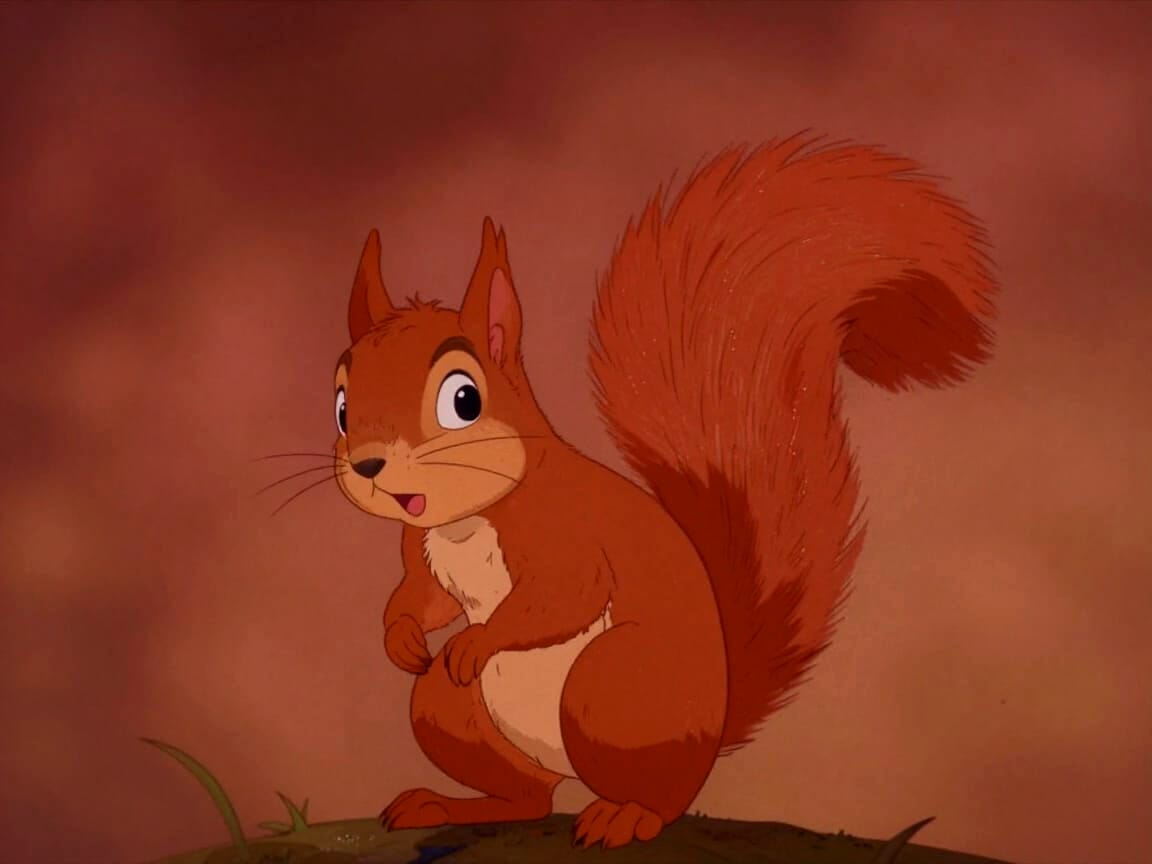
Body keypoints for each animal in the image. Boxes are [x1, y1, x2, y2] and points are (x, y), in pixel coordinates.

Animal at [329, 134, 996, 850]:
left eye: (463, 399)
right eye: (340, 404)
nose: (369, 466)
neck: (468, 516)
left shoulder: (565, 530)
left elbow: (562, 595)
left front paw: (476, 641)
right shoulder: (420, 549)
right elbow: (421, 599)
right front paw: (400, 638)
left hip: (611, 687)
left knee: (660, 798)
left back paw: (625, 814)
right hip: (450, 708)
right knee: (526, 796)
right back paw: (455, 805)